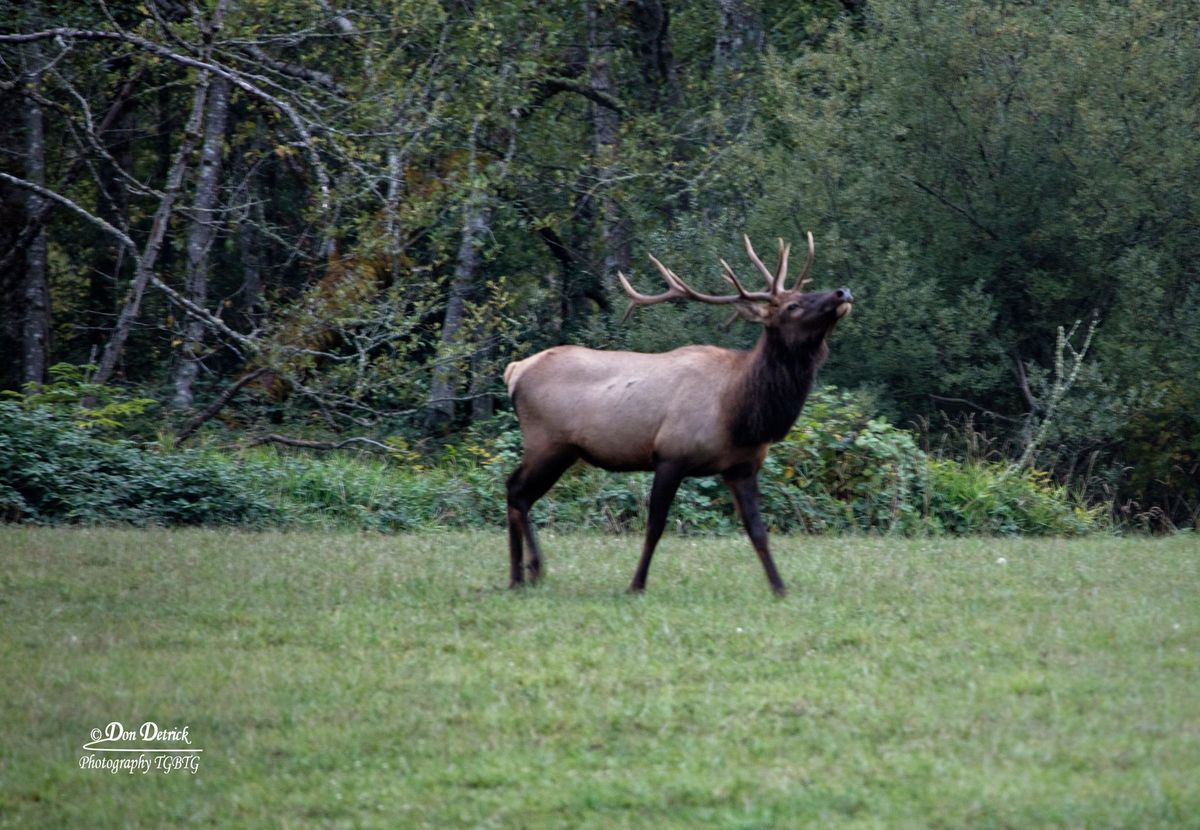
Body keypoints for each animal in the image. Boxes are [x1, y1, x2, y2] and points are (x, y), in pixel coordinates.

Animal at [499, 233, 854, 597]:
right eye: (791, 306)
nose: (842, 292)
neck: (740, 413)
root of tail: (515, 370)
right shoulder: (670, 455)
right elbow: (655, 526)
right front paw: (636, 585)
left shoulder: (742, 467)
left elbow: (758, 530)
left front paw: (779, 587)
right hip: (547, 442)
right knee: (516, 490)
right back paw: (523, 574)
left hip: (563, 450)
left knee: (519, 494)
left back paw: (525, 574)